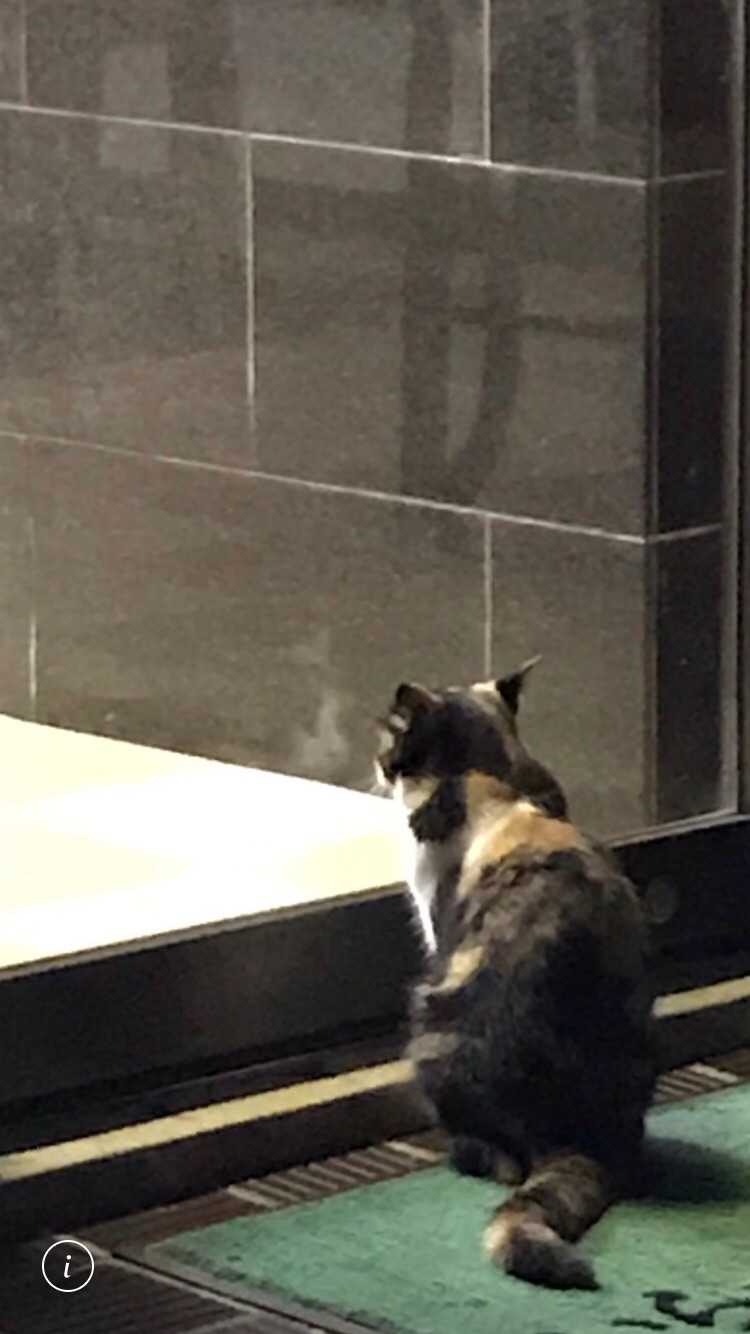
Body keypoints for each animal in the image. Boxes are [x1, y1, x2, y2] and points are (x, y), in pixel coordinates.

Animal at [374, 661, 656, 1290]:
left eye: (390, 734)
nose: (376, 762)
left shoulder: (439, 931)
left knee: (503, 1163)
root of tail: (578, 1132)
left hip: (430, 1022)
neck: (495, 774)